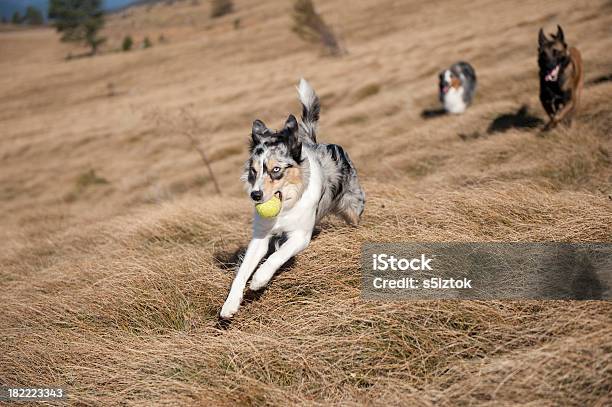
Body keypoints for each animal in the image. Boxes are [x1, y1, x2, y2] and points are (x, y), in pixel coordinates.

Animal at [219, 79, 364, 320]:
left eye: (276, 169)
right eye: (254, 171)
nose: (255, 195)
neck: (285, 206)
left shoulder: (301, 236)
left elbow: (278, 255)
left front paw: (260, 279)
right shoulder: (260, 237)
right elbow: (243, 271)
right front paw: (230, 304)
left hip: (352, 206)